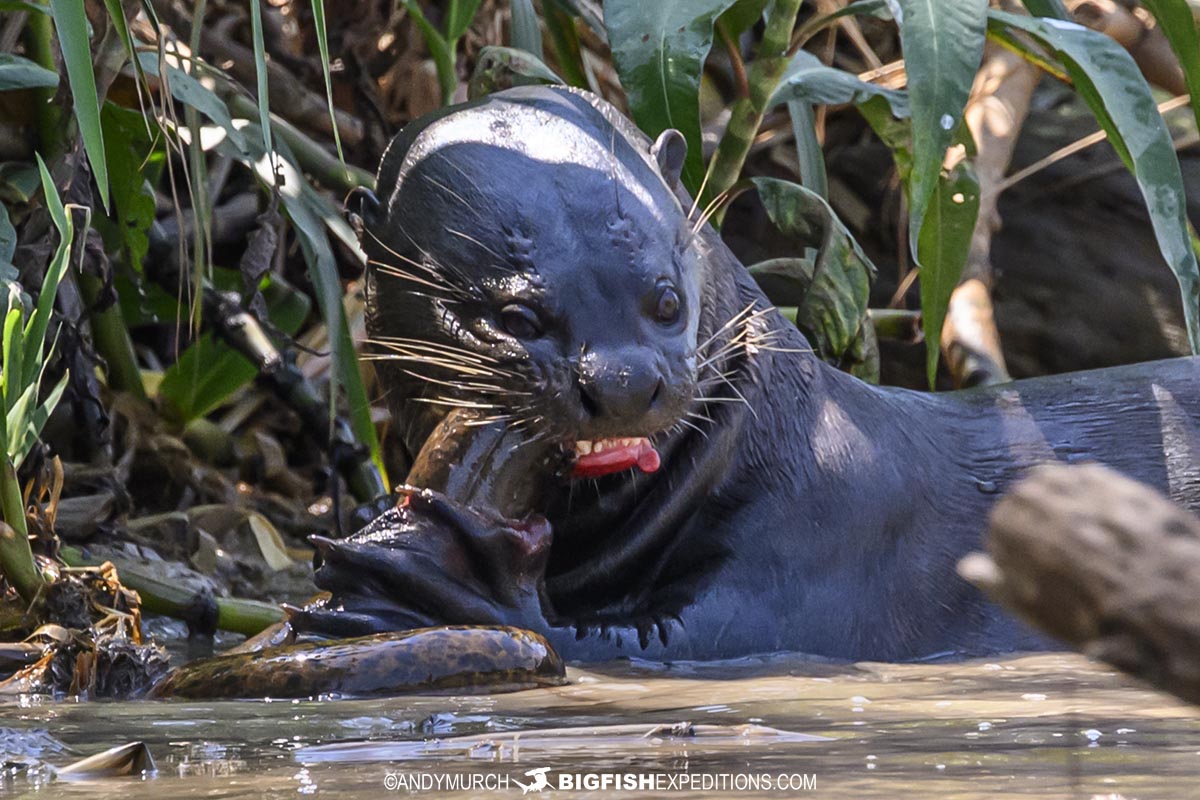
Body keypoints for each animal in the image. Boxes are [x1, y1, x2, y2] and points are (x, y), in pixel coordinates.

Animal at [315, 86, 1200, 662]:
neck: (779, 447)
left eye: (665, 298)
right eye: (514, 317)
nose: (626, 383)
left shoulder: (821, 546)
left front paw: (447, 570)